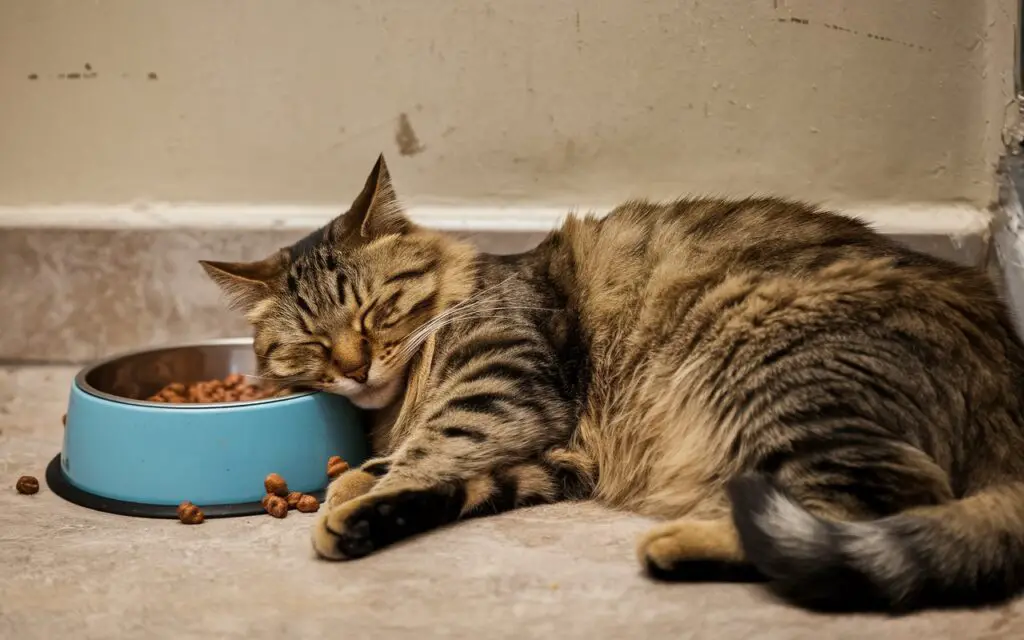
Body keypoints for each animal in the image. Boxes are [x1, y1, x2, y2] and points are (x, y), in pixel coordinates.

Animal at [199, 155, 1024, 614]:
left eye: (376, 311)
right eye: (311, 343)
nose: (353, 366)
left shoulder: (504, 389)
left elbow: (428, 451)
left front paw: (358, 491)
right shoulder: (558, 458)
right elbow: (441, 480)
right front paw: (361, 493)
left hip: (783, 381)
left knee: (855, 516)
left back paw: (677, 543)